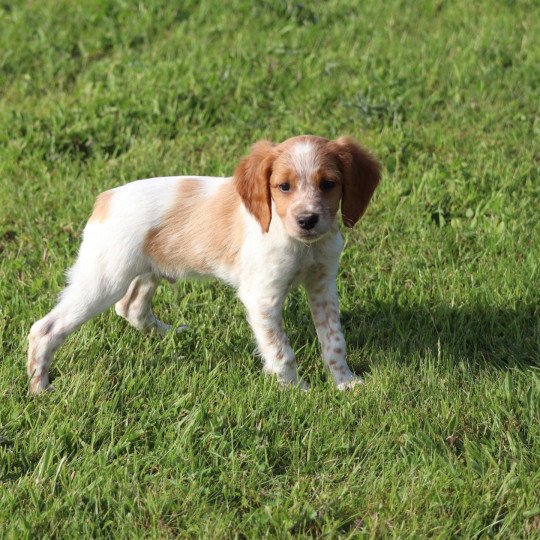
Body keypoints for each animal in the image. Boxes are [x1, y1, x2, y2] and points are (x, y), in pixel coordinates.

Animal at [25, 135, 380, 394]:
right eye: (284, 187)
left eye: (328, 184)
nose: (308, 220)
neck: (303, 246)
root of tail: (105, 198)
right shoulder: (262, 297)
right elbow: (281, 351)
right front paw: (297, 392)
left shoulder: (323, 286)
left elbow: (334, 340)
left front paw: (346, 384)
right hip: (104, 279)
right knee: (45, 329)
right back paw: (41, 389)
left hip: (146, 270)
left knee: (131, 307)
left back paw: (170, 334)